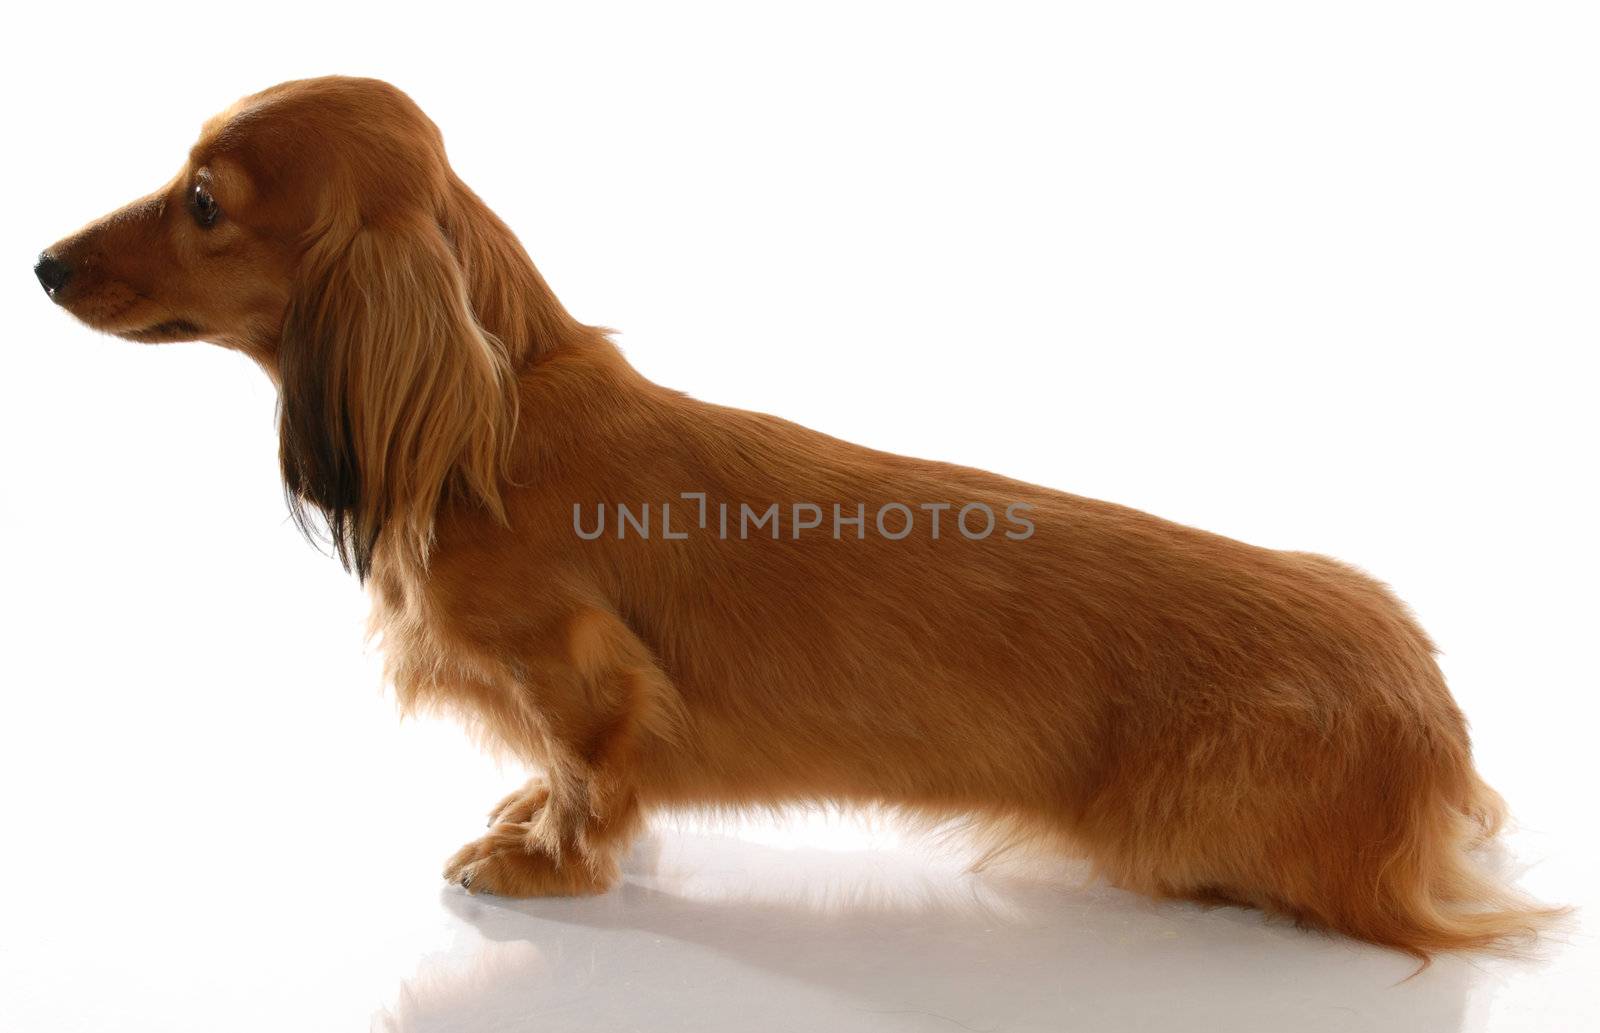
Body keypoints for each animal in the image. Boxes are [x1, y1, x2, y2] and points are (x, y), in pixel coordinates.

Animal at [37, 76, 1561, 959]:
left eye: (204, 200)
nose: (42, 262)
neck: (499, 423)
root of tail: (1427, 718)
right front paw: (524, 813)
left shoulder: (580, 668)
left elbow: (588, 770)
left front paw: (539, 862)